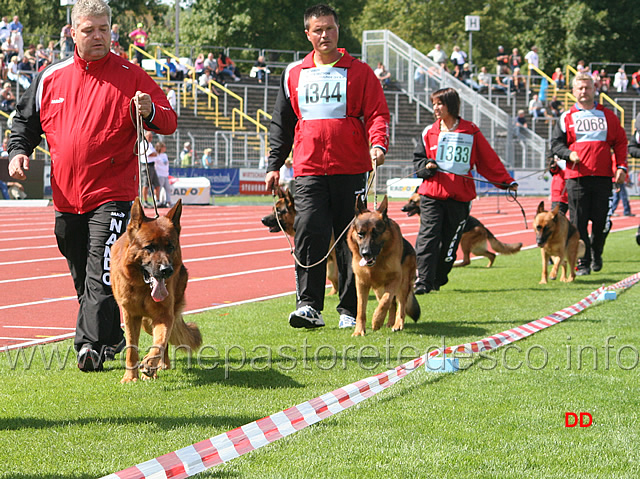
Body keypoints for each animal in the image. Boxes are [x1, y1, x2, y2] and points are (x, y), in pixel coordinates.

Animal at [111, 198, 202, 382]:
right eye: (149, 247)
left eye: (170, 247)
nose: (167, 270)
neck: (143, 287)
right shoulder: (130, 315)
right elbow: (131, 348)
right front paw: (130, 377)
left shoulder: (165, 315)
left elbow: (160, 342)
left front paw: (149, 363)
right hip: (146, 323)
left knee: (163, 343)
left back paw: (160, 365)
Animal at [350, 195, 420, 338]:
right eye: (360, 234)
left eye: (376, 233)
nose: (365, 253)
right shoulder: (361, 283)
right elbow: (361, 310)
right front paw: (359, 331)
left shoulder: (395, 279)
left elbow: (385, 302)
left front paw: (376, 320)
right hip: (378, 290)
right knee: (392, 304)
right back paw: (390, 323)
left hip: (403, 284)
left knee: (400, 304)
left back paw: (398, 324)